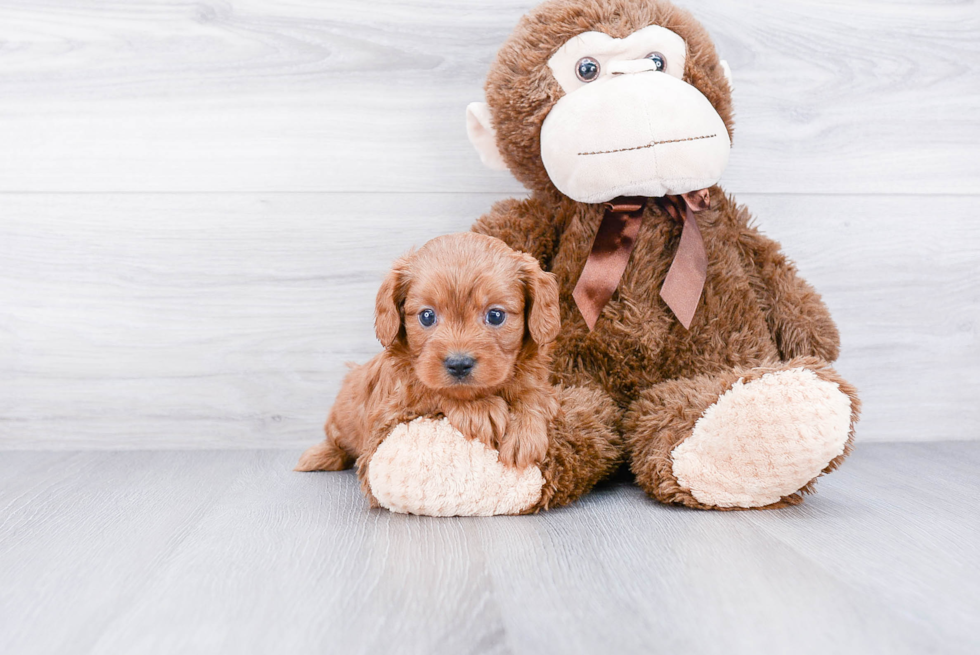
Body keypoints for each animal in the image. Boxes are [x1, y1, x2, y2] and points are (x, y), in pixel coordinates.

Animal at [294, 233, 560, 480]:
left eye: (495, 315)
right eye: (427, 316)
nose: (459, 364)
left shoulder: (536, 382)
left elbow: (534, 394)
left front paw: (524, 431)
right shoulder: (393, 408)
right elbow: (430, 390)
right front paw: (480, 409)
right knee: (337, 442)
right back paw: (318, 456)